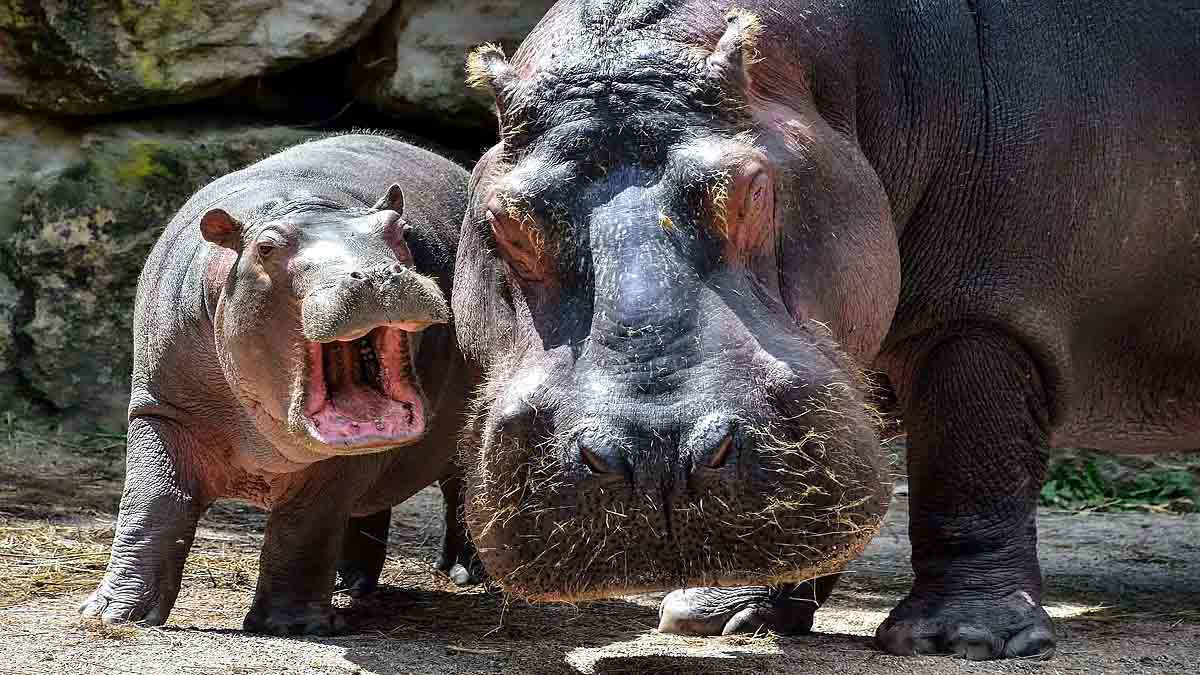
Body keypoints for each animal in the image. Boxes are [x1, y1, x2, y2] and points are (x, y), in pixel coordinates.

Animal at [79, 134, 481, 635]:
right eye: (266, 247)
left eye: (398, 230)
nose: (377, 275)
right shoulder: (162, 408)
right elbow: (153, 501)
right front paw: (113, 614)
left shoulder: (338, 464)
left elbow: (306, 524)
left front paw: (288, 627)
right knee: (369, 510)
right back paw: (349, 585)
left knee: (460, 487)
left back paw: (464, 573)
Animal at [451, 0, 1199, 661]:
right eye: (504, 218)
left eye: (753, 187)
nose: (656, 453)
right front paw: (724, 616)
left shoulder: (984, 311)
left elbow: (970, 461)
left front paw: (964, 639)